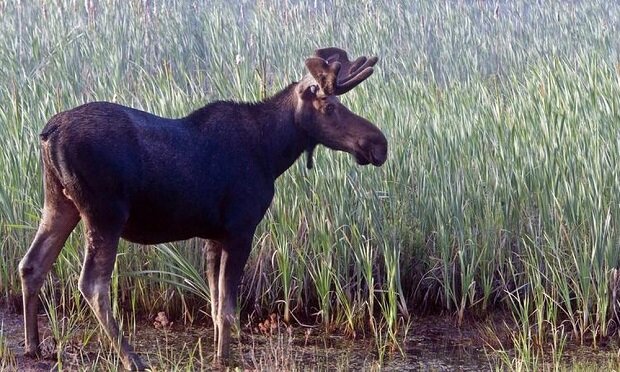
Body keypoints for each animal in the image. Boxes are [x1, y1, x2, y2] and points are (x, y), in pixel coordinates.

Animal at [18, 47, 388, 370]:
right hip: (104, 213)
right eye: (330, 106)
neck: (272, 152)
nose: (378, 143)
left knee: (31, 264)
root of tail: (49, 133)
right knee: (93, 285)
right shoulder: (241, 229)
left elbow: (214, 304)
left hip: (59, 202)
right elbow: (228, 308)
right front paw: (226, 359)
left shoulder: (214, 235)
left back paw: (33, 346)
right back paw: (132, 358)